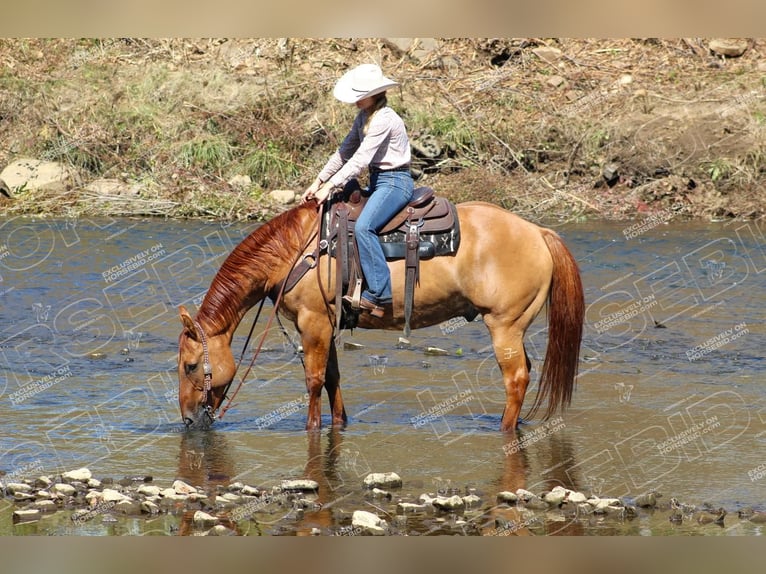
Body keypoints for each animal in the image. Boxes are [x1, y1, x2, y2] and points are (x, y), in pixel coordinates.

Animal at [178, 200, 588, 434]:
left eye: (190, 366)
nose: (187, 420)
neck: (294, 252)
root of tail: (539, 232)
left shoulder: (313, 322)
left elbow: (313, 380)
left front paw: (311, 427)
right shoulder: (328, 323)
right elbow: (332, 378)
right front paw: (339, 423)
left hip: (504, 325)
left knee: (516, 378)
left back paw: (503, 429)